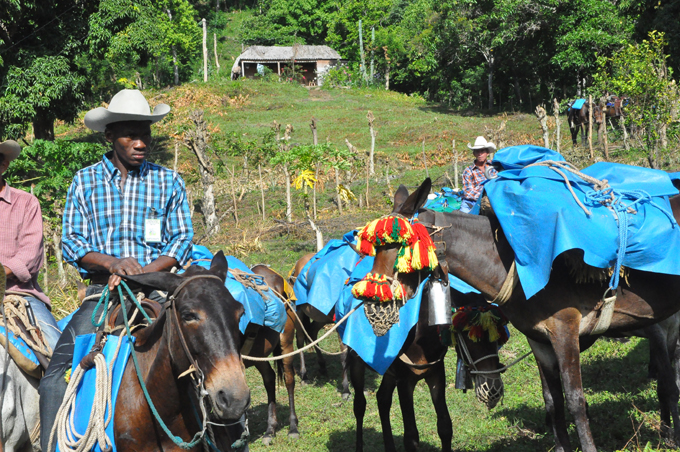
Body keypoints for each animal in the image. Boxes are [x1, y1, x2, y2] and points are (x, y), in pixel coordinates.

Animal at [246, 264, 298, 444]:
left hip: (286, 345)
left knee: (289, 379)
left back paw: (293, 427)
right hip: (258, 355)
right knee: (269, 378)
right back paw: (270, 429)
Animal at [350, 185, 504, 452]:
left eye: (496, 339)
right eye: (469, 338)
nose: (493, 391)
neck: (422, 333)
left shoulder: (435, 373)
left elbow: (445, 426)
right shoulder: (406, 380)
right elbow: (411, 435)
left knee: (382, 399)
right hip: (356, 362)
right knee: (360, 404)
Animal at [404, 177, 680, 452]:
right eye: (465, 339)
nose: (489, 391)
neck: (514, 267)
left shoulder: (573, 332)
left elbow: (582, 399)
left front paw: (670, 435)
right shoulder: (540, 341)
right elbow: (552, 401)